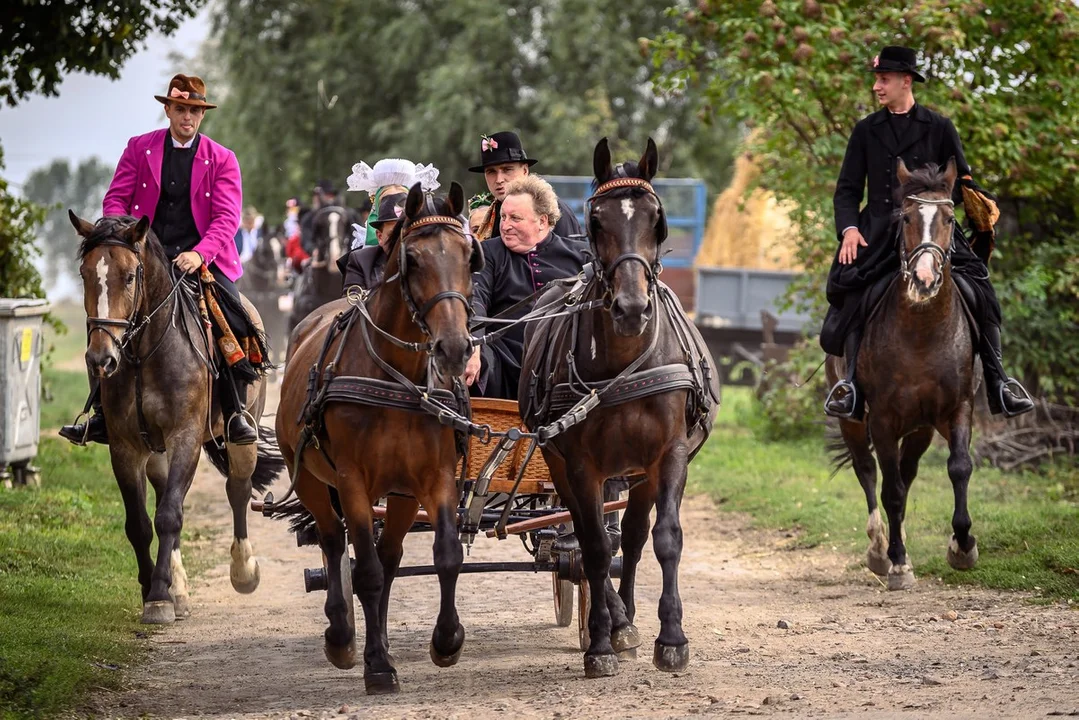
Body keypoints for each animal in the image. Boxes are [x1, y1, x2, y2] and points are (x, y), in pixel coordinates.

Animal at [67, 212, 284, 626]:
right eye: (85, 274)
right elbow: (140, 522)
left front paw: (157, 598)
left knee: (237, 488)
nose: (101, 358)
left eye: (130, 276)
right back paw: (179, 587)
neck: (142, 354)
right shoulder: (126, 447)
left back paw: (243, 571)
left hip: (241, 432)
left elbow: (169, 514)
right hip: (156, 451)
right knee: (167, 493)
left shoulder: (185, 437)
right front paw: (156, 590)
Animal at [520, 136, 720, 682]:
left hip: (636, 471)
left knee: (628, 538)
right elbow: (591, 547)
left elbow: (663, 539)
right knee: (589, 544)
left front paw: (671, 639)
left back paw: (626, 619)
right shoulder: (581, 465)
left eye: (658, 218)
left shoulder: (668, 455)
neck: (626, 362)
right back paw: (611, 622)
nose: (632, 309)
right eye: (596, 221)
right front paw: (599, 644)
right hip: (567, 469)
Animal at [824, 160, 979, 595]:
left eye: (950, 219)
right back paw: (880, 548)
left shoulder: (957, 408)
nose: (924, 280)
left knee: (907, 474)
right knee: (868, 471)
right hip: (853, 421)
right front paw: (895, 564)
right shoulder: (882, 420)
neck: (923, 332)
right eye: (906, 218)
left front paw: (962, 546)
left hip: (920, 429)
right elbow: (889, 490)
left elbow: (958, 468)